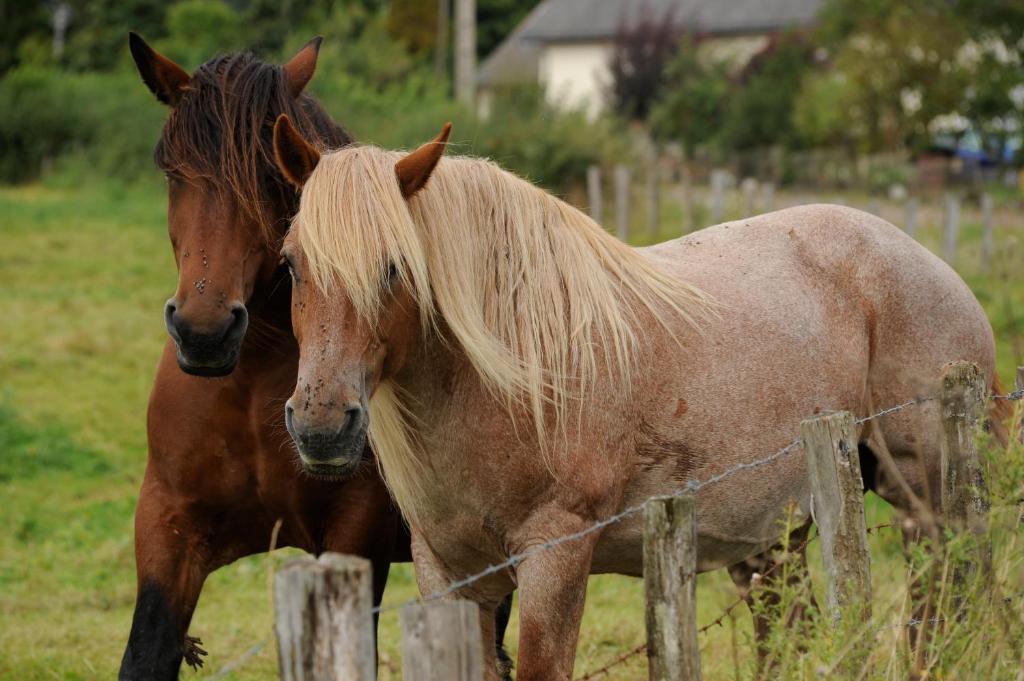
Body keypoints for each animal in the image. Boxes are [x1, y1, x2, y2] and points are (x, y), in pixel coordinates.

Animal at [268, 119, 1003, 675]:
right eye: (291, 264)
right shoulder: (449, 575)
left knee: (941, 604)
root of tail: (936, 270)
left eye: (396, 267)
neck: (510, 379)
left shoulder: (556, 556)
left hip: (928, 507)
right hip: (782, 536)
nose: (322, 425)